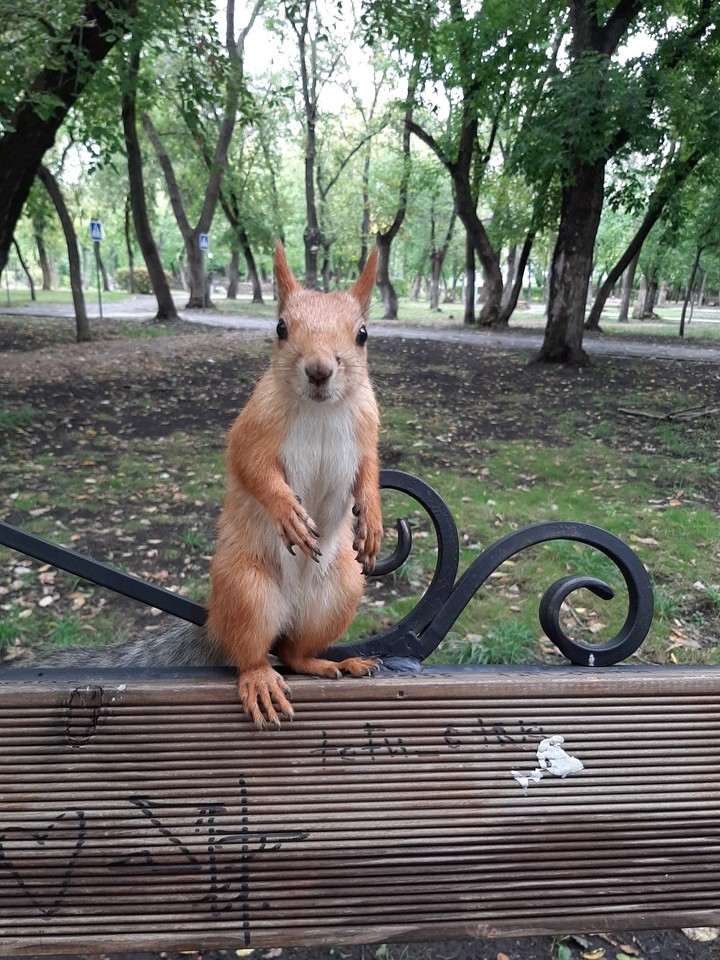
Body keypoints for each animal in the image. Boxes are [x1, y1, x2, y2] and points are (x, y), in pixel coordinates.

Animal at [18, 241, 384, 730]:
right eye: (280, 328)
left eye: (363, 334)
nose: (320, 370)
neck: (322, 409)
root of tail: (216, 621)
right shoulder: (252, 429)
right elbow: (252, 468)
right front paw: (286, 510)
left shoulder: (366, 431)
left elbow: (370, 472)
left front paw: (374, 518)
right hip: (247, 591)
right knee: (253, 654)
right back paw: (261, 679)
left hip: (340, 593)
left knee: (293, 652)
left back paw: (332, 663)